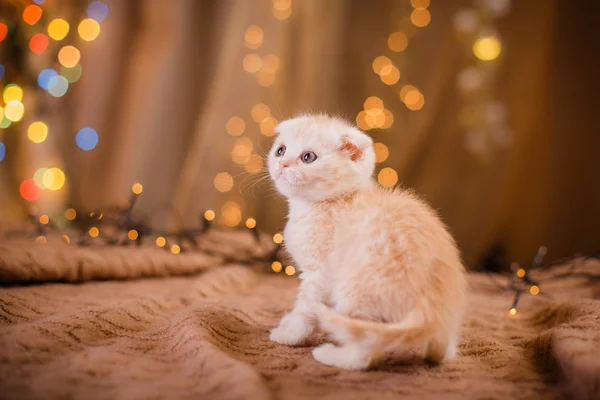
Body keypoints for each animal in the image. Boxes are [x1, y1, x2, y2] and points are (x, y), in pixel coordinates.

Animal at [268, 114, 468, 370]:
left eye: (308, 157)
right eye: (280, 150)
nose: (282, 165)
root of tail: (431, 306)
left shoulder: (319, 276)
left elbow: (305, 310)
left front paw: (289, 335)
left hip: (354, 293)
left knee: (367, 352)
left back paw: (332, 355)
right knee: (441, 349)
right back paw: (437, 353)